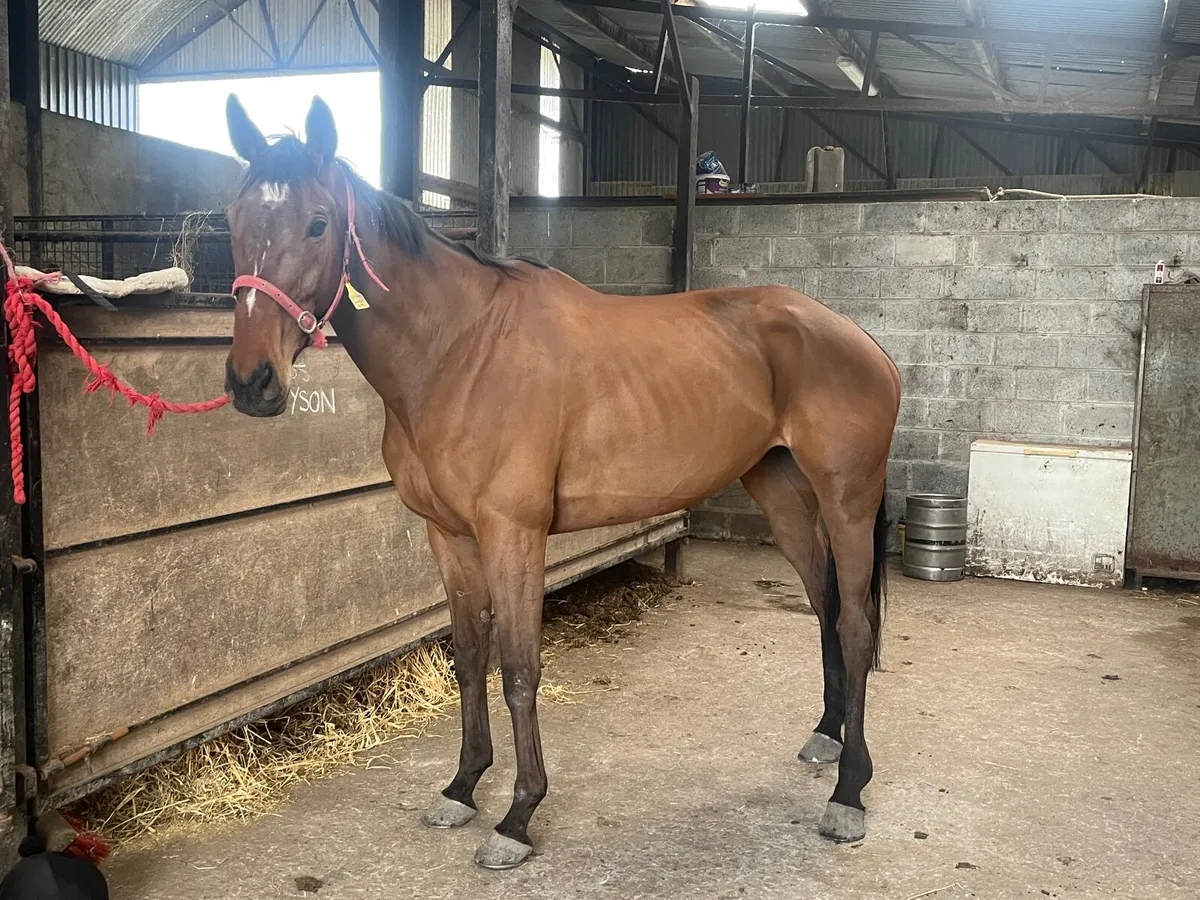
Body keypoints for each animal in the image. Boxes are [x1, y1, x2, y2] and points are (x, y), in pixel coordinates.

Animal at [221, 95, 901, 870]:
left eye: (317, 222)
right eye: (232, 219)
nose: (252, 382)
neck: (459, 351)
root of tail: (862, 340)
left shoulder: (514, 535)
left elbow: (519, 670)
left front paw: (518, 816)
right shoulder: (448, 536)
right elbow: (468, 658)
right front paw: (462, 787)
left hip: (848, 500)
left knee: (855, 624)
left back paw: (849, 793)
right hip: (782, 493)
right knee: (824, 604)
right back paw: (828, 738)